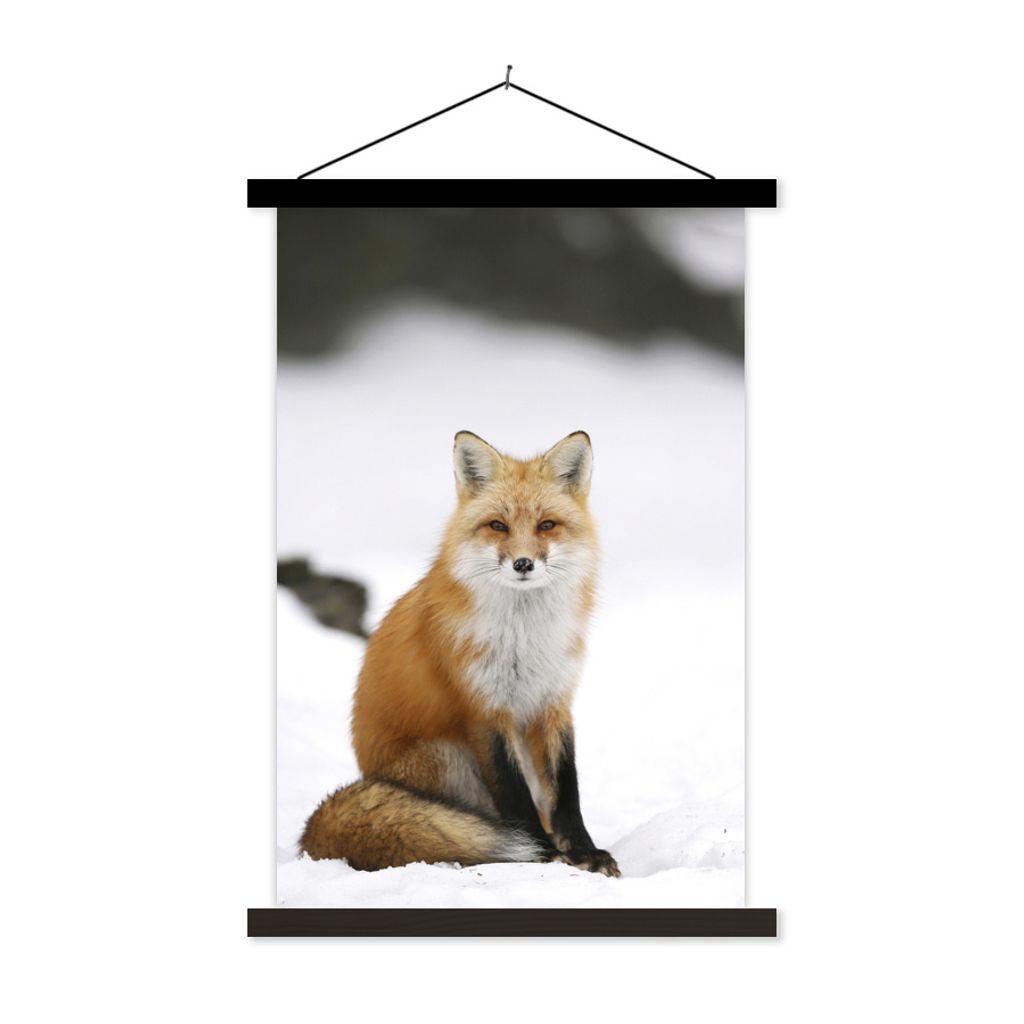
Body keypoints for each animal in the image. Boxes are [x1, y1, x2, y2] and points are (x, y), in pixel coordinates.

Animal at [300, 429, 620, 877]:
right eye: (498, 525)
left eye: (547, 526)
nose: (523, 563)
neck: (523, 638)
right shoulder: (484, 709)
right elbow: (514, 796)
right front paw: (544, 854)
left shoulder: (553, 701)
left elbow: (566, 791)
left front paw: (584, 852)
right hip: (445, 756)